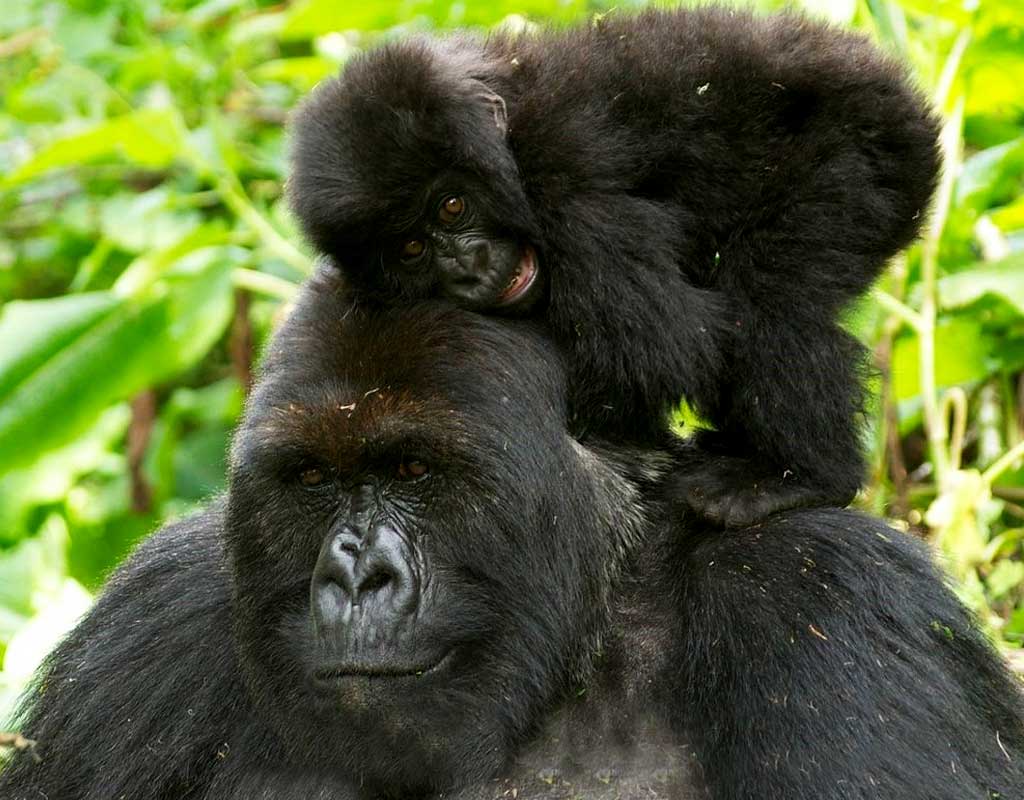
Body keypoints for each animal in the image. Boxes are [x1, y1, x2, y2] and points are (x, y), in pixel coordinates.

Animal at [292, 9, 937, 528]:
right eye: (410, 251)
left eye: (453, 206)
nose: (467, 265)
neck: (508, 130)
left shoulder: (566, 180)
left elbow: (665, 347)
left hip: (864, 156)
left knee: (775, 304)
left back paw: (801, 477)